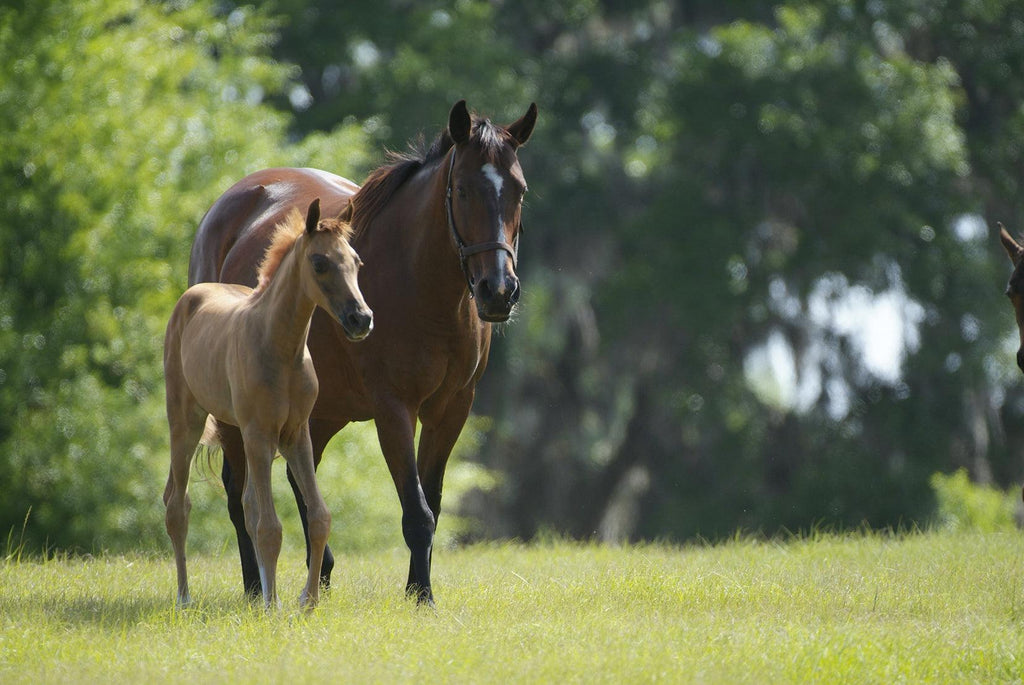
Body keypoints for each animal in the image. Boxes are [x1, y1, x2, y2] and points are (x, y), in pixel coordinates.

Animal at [163, 199, 373, 609]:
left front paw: (306, 601)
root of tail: (191, 297)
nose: (361, 319)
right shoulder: (260, 434)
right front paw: (273, 605)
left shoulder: (297, 434)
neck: (279, 347)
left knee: (245, 505)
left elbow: (318, 516)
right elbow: (270, 526)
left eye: (356, 261)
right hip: (186, 422)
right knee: (178, 505)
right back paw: (183, 597)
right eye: (320, 262)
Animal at [189, 100, 537, 605]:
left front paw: (417, 590)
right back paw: (256, 588)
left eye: (519, 191)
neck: (421, 286)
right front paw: (422, 596)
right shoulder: (393, 409)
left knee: (300, 482)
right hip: (242, 409)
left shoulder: (452, 409)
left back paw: (322, 575)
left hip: (322, 411)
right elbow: (416, 512)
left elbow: (430, 503)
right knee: (239, 493)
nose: (498, 291)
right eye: (463, 189)